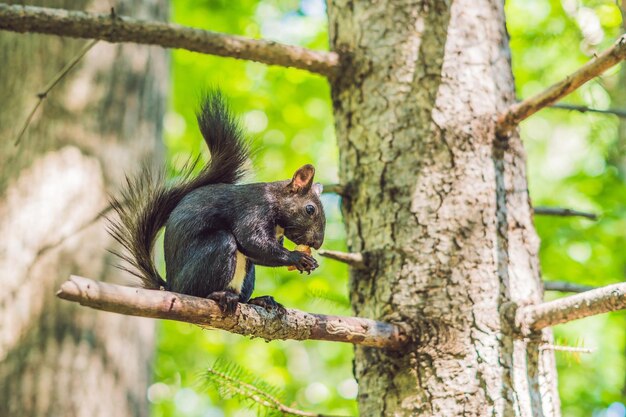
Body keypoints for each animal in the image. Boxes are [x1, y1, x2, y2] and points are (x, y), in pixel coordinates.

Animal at [108, 91, 324, 312]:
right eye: (310, 209)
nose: (316, 243)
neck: (275, 201)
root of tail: (170, 286)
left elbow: (256, 254)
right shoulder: (254, 210)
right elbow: (252, 241)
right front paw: (297, 257)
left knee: (243, 292)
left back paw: (259, 300)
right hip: (212, 255)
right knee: (202, 282)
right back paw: (220, 296)